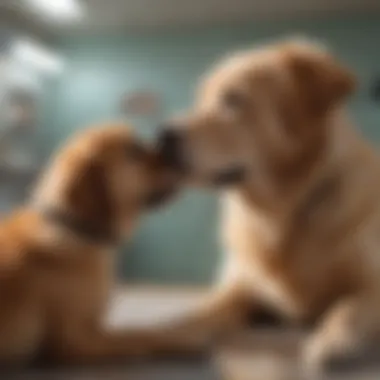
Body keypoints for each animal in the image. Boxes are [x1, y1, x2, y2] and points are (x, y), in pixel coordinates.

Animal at [0, 123, 193, 366]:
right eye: (133, 151)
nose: (174, 151)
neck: (76, 230)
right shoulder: (76, 340)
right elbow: (141, 335)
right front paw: (181, 337)